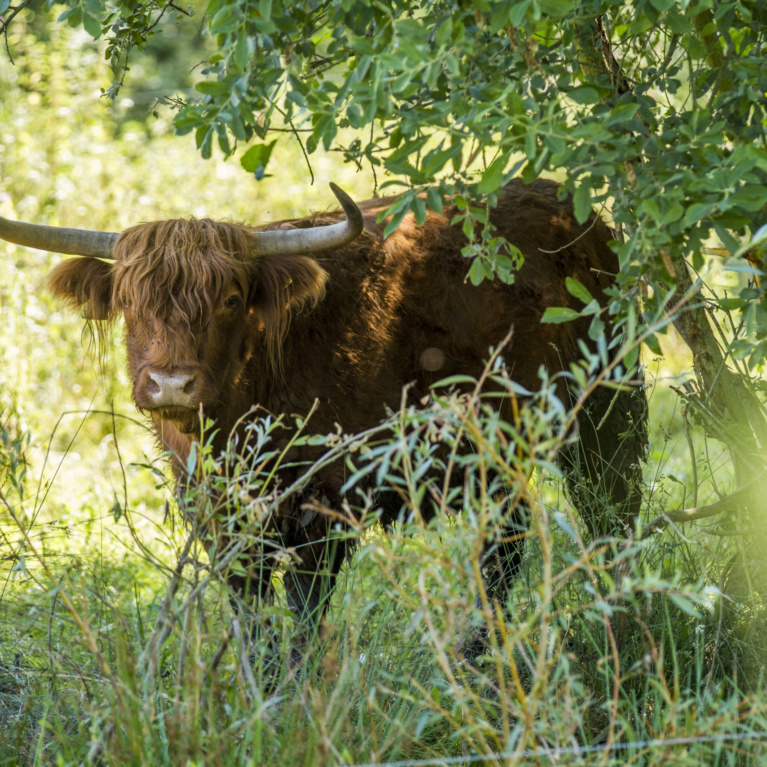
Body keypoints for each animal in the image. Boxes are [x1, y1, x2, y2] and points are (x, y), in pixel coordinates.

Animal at [0, 182, 648, 656]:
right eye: (131, 303)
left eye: (230, 299)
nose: (171, 384)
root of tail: (566, 207)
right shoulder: (213, 512)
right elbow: (250, 612)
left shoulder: (326, 503)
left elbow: (305, 609)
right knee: (508, 540)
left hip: (606, 408)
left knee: (608, 509)